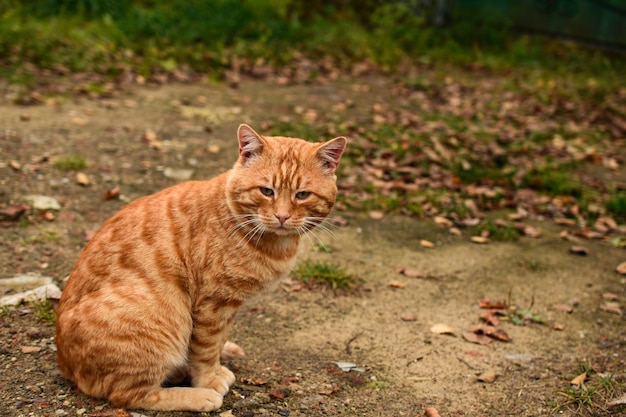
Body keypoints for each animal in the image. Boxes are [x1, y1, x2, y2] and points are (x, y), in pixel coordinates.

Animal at [53, 123, 346, 410]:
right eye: (266, 191)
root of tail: (66, 365)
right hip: (160, 320)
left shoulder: (228, 305)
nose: (282, 217)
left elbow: (216, 341)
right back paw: (198, 396)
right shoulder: (213, 303)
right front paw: (208, 379)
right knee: (130, 395)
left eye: (302, 195)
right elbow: (206, 348)